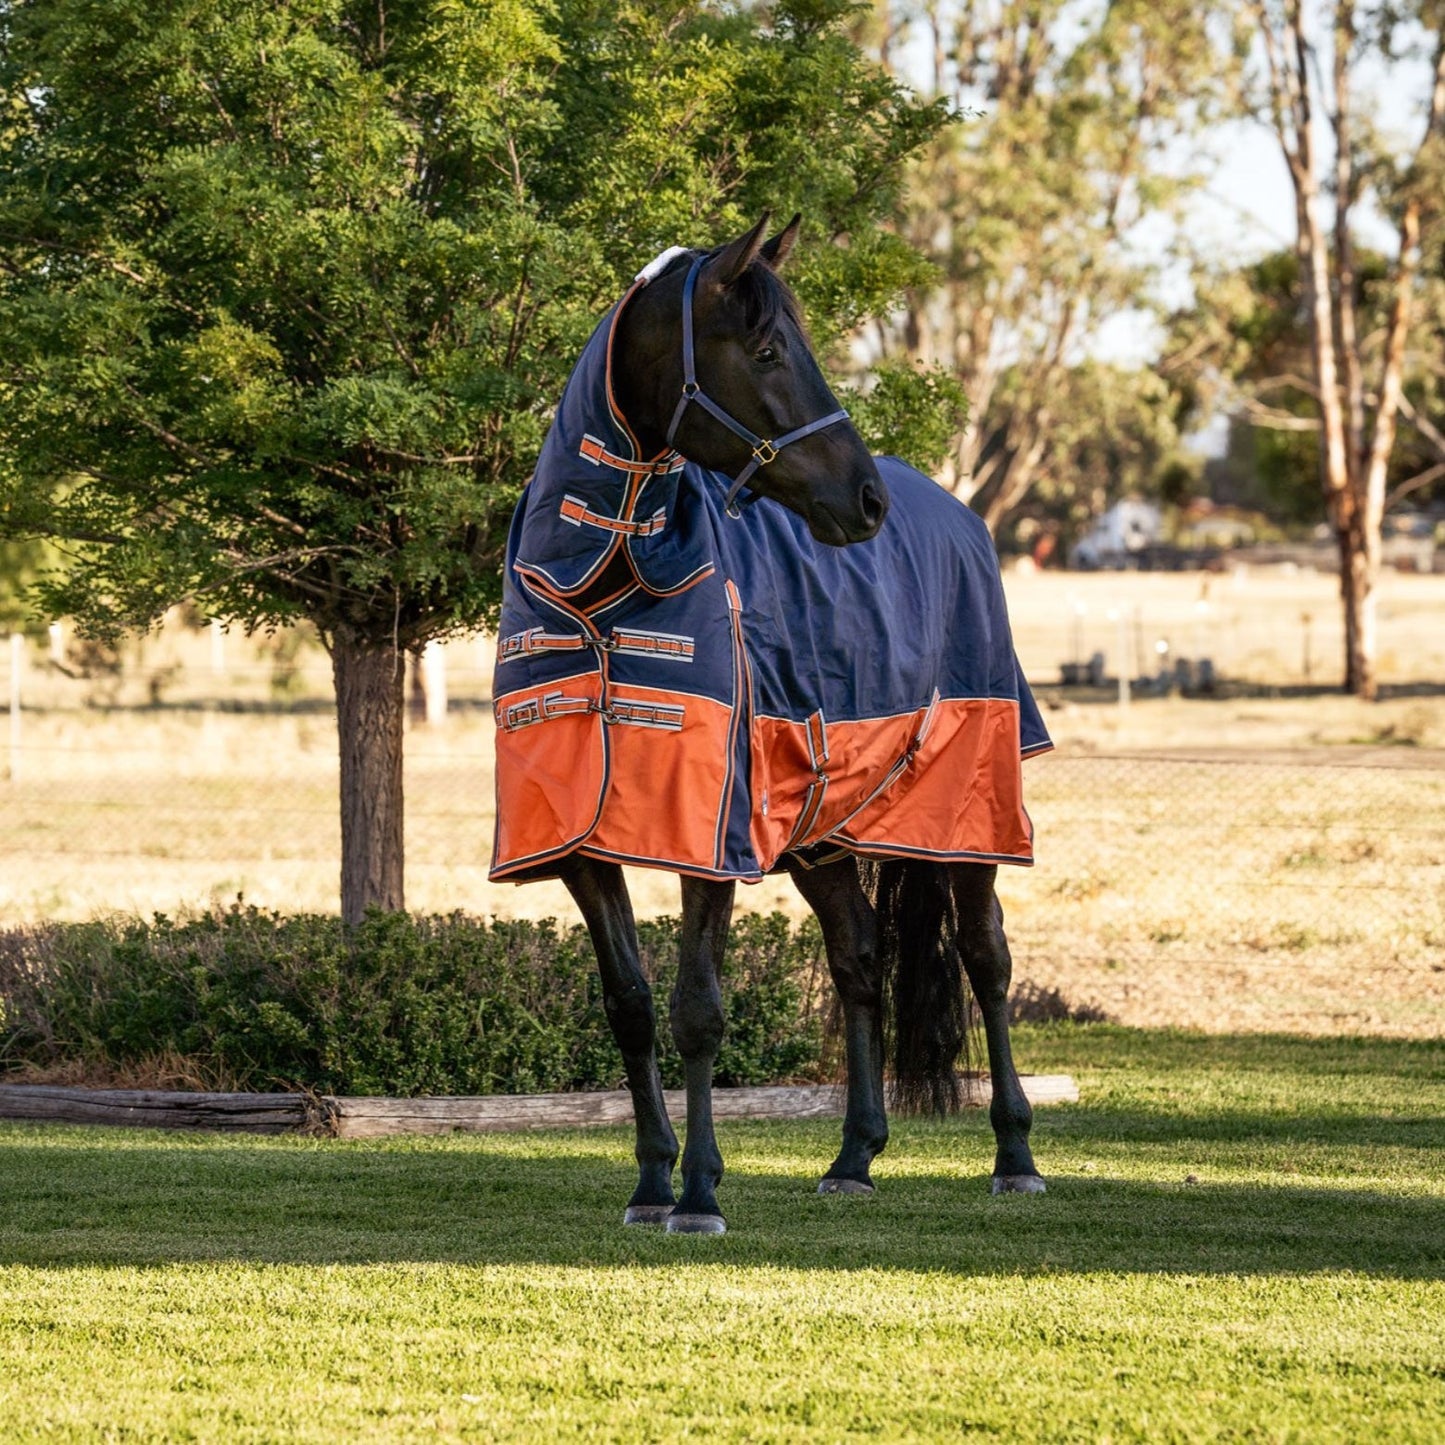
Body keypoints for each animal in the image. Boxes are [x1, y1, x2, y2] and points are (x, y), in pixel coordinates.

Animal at [490, 214, 1051, 1234]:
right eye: (764, 350)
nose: (864, 500)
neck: (603, 587)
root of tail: (956, 511)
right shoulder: (583, 844)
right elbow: (630, 1006)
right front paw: (650, 1183)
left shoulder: (709, 835)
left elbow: (698, 1009)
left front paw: (700, 1193)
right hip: (820, 832)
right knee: (858, 958)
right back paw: (853, 1156)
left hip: (964, 813)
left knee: (986, 958)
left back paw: (1015, 1154)